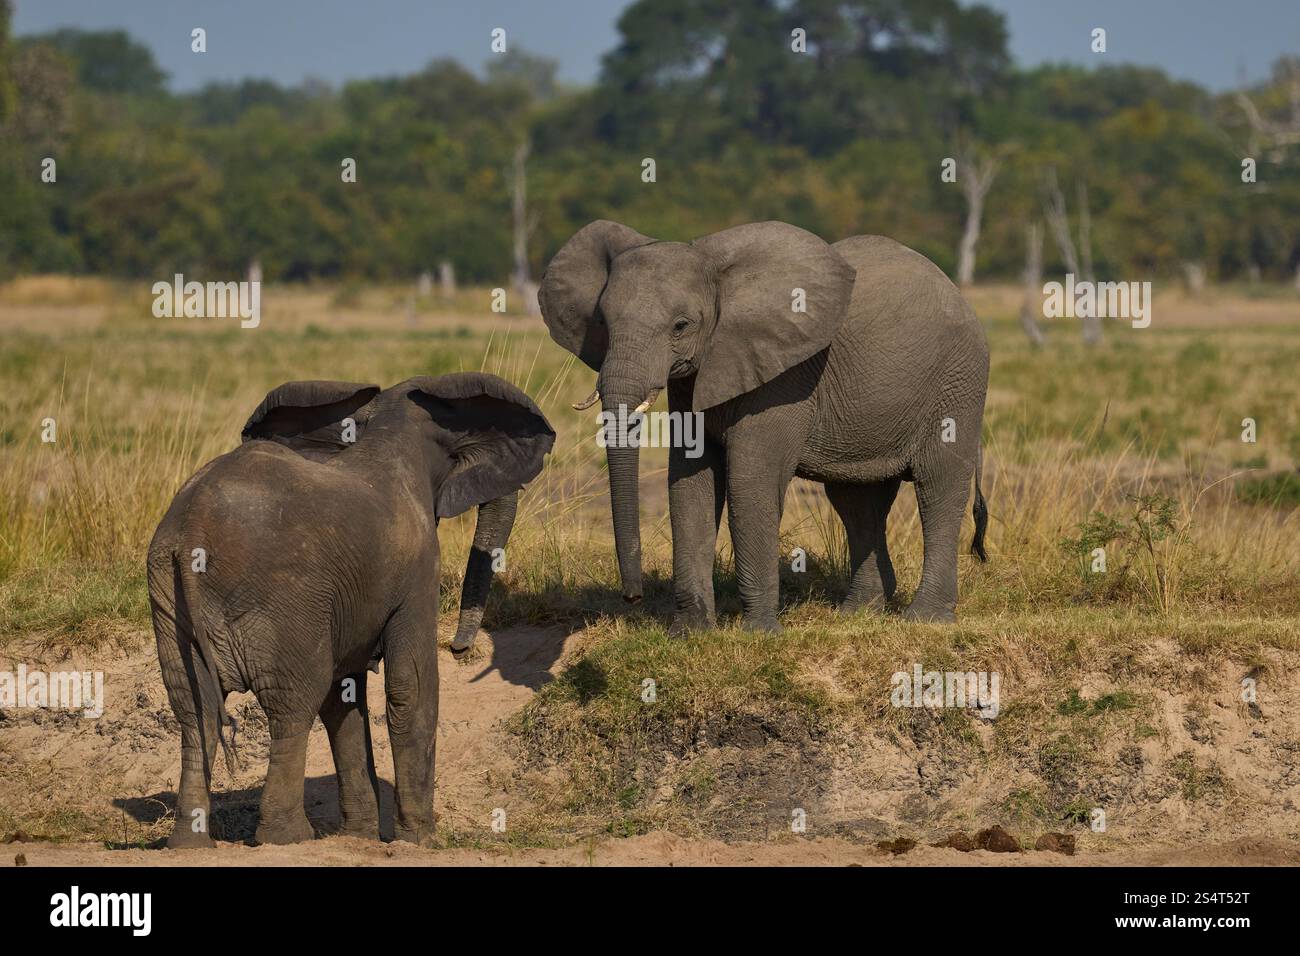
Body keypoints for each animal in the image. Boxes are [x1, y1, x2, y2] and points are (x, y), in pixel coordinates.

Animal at [146, 372, 554, 848]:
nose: (459, 648)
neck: (386, 429)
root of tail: (194, 523)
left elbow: (344, 698)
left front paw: (360, 837)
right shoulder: (417, 569)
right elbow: (412, 687)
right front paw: (421, 840)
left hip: (169, 597)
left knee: (195, 714)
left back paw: (190, 842)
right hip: (285, 598)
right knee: (292, 706)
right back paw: (289, 837)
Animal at [539, 220, 988, 632]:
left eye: (681, 326)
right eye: (602, 323)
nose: (632, 598)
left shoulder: (784, 378)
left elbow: (750, 483)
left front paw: (758, 633)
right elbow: (690, 482)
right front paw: (691, 632)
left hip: (958, 381)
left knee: (938, 485)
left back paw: (925, 620)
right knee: (855, 499)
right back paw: (857, 614)